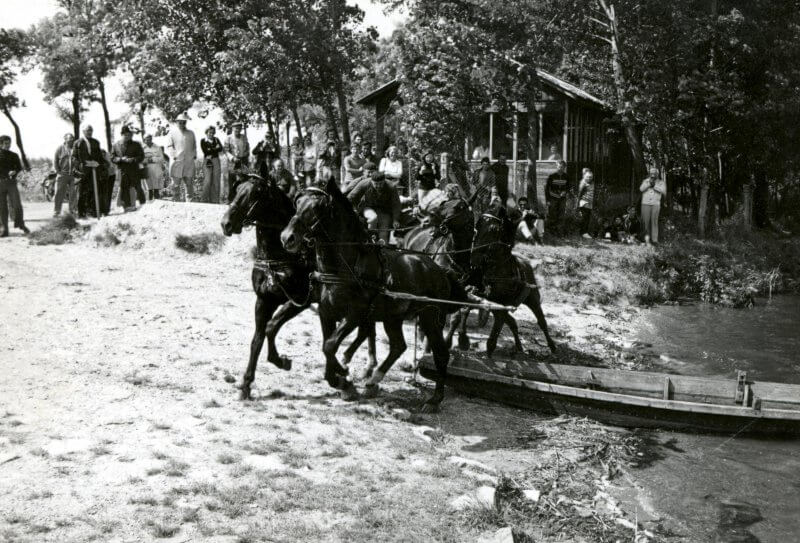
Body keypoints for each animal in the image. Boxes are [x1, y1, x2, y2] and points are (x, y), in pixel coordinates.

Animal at [219, 176, 376, 402]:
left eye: (255, 194)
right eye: (238, 189)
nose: (226, 223)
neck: (281, 256)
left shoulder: (300, 300)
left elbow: (272, 327)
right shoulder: (264, 300)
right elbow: (259, 337)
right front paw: (248, 383)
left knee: (365, 330)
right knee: (366, 330)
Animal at [280, 178, 468, 412]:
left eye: (318, 207)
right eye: (297, 203)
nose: (287, 238)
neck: (347, 265)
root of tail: (440, 270)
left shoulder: (355, 315)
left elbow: (330, 346)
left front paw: (343, 376)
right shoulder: (326, 313)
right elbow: (327, 346)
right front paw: (341, 380)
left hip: (431, 318)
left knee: (441, 353)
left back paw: (434, 400)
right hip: (393, 317)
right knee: (398, 346)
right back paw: (373, 380)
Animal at [468, 204, 556, 356]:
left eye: (493, 229)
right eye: (477, 226)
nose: (473, 259)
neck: (500, 269)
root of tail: (527, 263)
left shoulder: (501, 305)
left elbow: (496, 331)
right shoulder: (493, 303)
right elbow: (504, 323)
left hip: (533, 299)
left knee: (542, 322)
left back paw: (552, 346)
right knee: (512, 322)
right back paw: (519, 347)